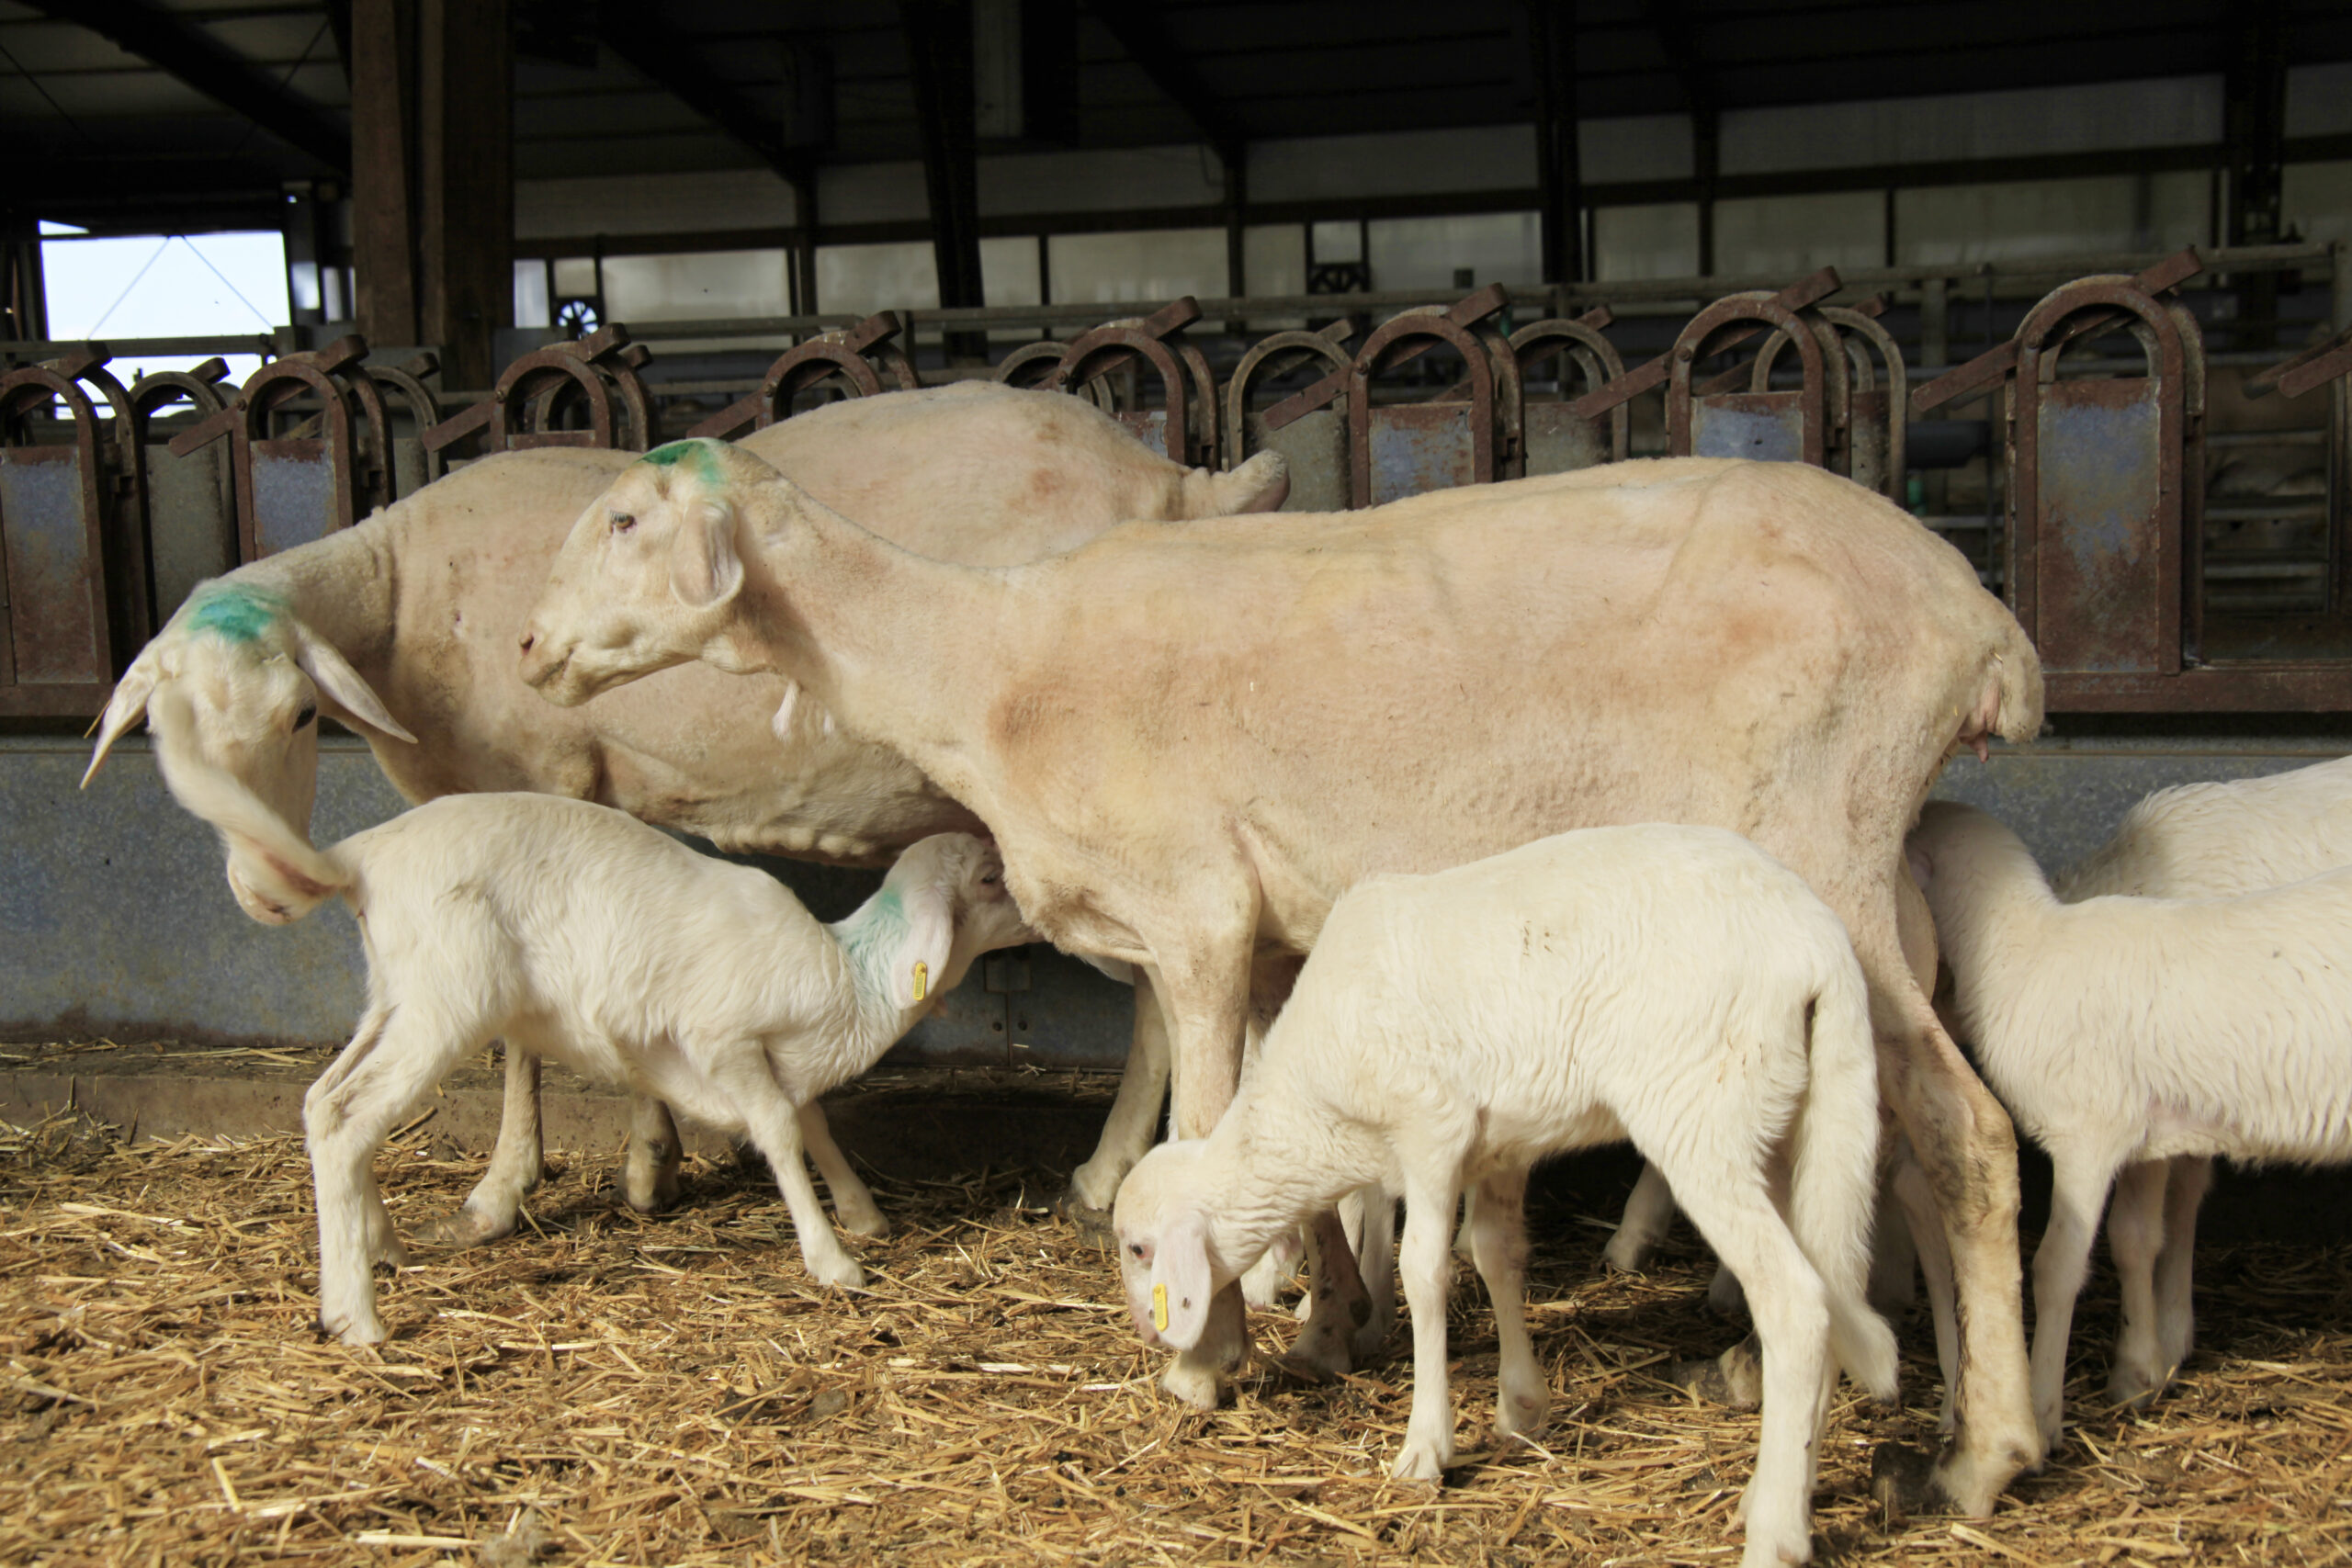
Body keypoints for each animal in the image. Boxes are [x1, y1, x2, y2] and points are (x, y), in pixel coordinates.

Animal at [165, 751, 1030, 1354]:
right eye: (991, 879)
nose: (1041, 907)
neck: (848, 974)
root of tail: (362, 857)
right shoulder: (724, 1039)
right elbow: (783, 1133)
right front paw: (834, 1261)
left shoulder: (778, 1064)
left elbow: (813, 1123)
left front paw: (863, 1213)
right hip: (448, 997)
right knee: (351, 1117)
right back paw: (354, 1313)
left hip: (395, 992)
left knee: (324, 1101)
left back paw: (380, 1246)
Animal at [1110, 827, 1900, 1561]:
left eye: (1140, 1247)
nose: (1148, 1331)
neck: (1313, 1117)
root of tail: (1819, 945)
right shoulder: (1501, 1147)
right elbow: (1496, 1256)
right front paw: (1521, 1406)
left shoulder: (1431, 1126)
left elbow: (1424, 1270)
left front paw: (1426, 1446)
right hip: (1793, 1124)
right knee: (1831, 1293)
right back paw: (1779, 1492)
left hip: (1703, 1114)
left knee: (1796, 1303)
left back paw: (1775, 1532)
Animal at [1900, 804, 2352, 1457]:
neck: (2022, 949)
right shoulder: (2148, 1136)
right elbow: (2136, 1238)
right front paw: (2140, 1374)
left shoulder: (2086, 1137)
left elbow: (2057, 1268)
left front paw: (2044, 1412)